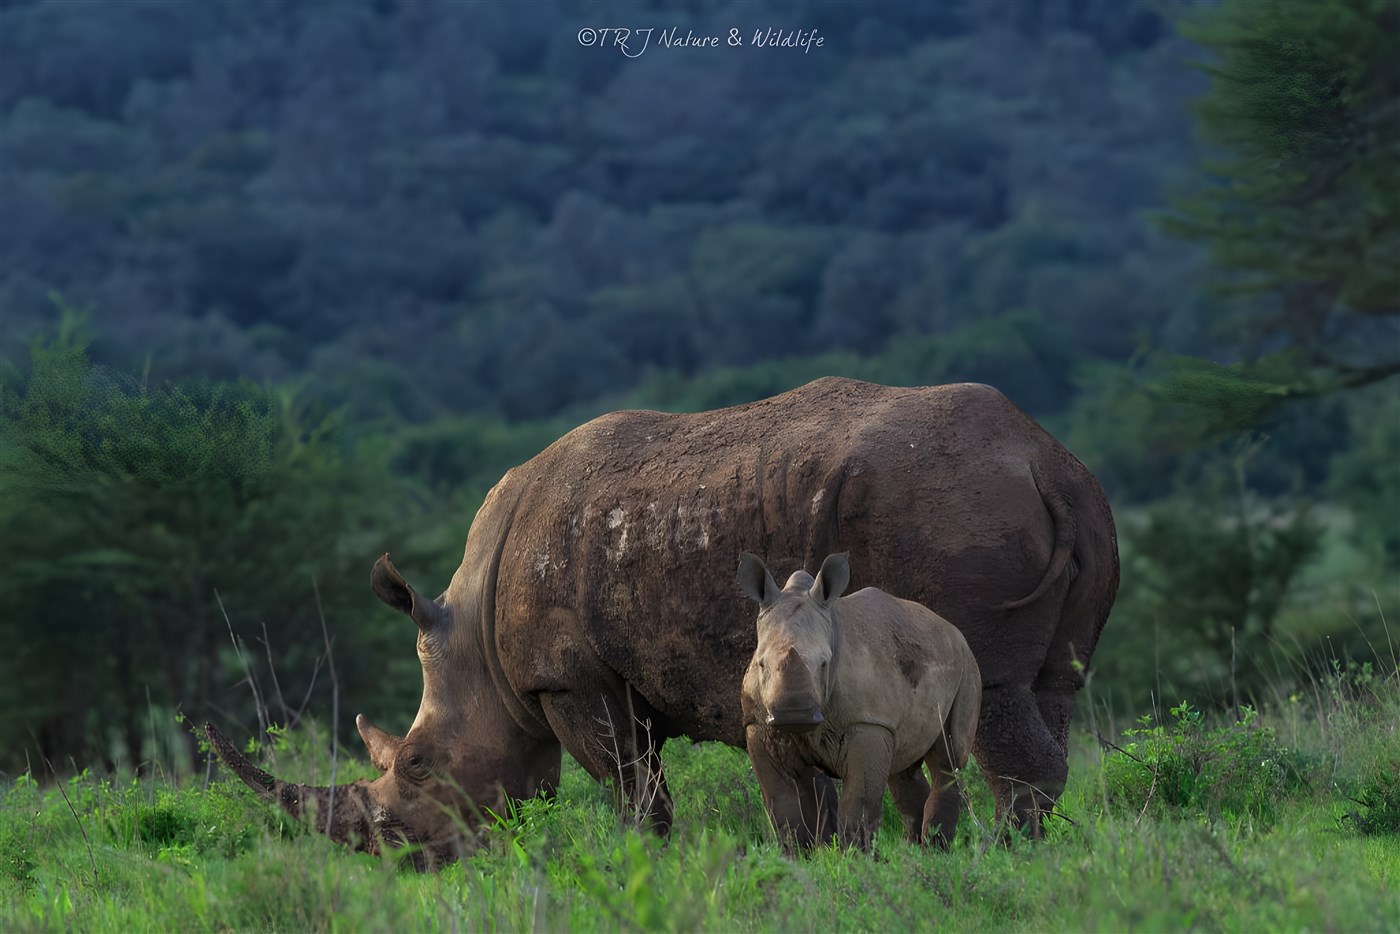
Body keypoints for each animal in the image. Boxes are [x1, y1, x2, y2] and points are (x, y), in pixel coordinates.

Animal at [739, 552, 982, 852]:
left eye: (825, 664)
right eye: (761, 664)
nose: (794, 714)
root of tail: (953, 629)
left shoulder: (869, 722)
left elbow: (859, 803)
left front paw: (855, 857)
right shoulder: (759, 724)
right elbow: (783, 805)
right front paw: (796, 857)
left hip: (968, 664)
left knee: (948, 759)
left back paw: (936, 851)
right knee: (904, 765)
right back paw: (915, 851)